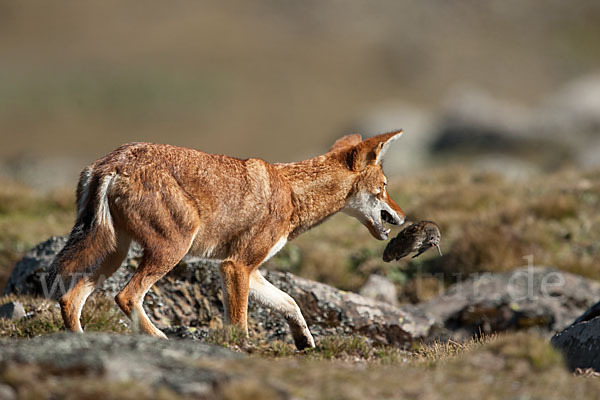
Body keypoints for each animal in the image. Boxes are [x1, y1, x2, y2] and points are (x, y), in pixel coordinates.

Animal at [45, 132, 404, 350]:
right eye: (385, 187)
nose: (402, 217)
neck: (292, 192)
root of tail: (111, 162)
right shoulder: (236, 267)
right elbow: (240, 323)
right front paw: (242, 350)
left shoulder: (247, 270)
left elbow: (290, 302)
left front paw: (304, 341)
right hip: (170, 250)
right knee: (126, 296)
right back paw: (160, 337)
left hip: (113, 254)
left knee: (70, 299)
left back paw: (79, 344)